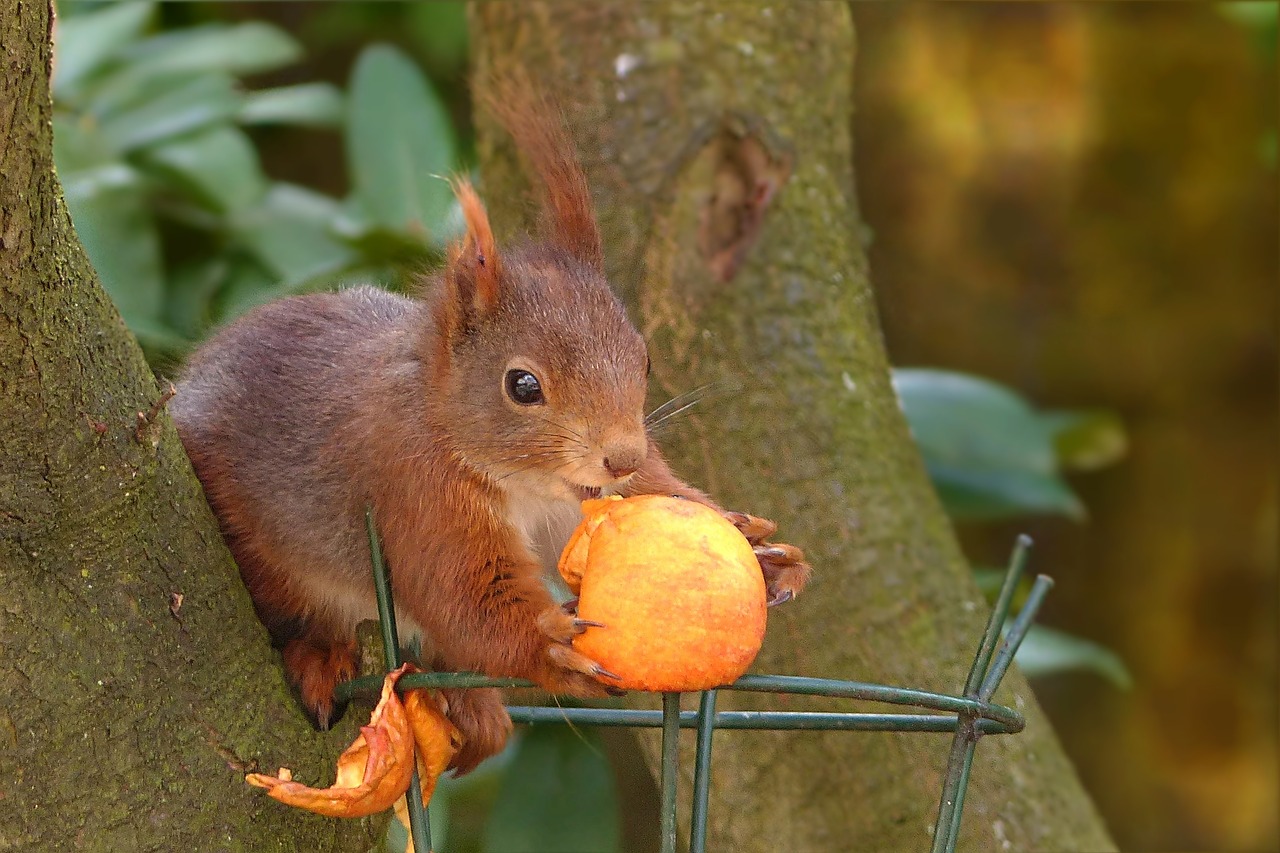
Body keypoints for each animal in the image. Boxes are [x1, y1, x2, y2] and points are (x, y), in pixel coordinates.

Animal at [170, 84, 808, 768]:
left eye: (645, 359)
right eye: (522, 386)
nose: (623, 457)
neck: (523, 482)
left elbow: (651, 499)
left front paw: (764, 552)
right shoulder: (415, 491)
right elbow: (466, 598)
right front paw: (551, 648)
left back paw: (469, 708)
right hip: (259, 546)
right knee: (299, 614)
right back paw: (323, 655)